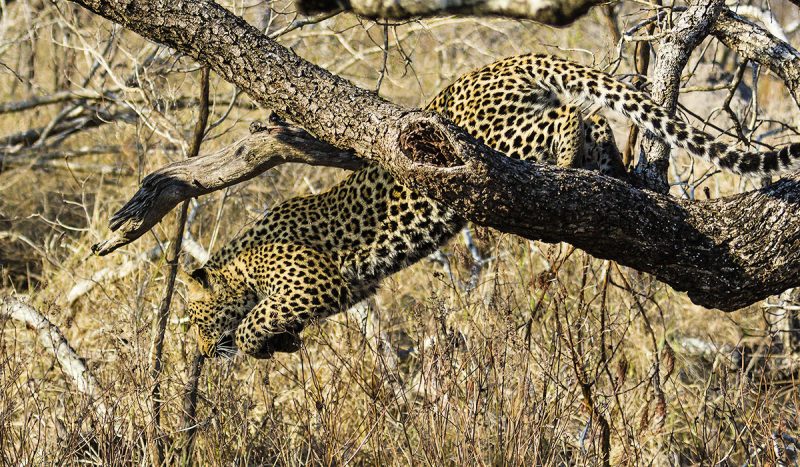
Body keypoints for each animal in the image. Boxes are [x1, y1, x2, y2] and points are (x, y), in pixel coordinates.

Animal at [186, 53, 800, 359]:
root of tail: (511, 59)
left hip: (501, 136)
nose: (199, 349)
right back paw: (614, 172)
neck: (241, 261)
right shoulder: (349, 289)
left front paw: (247, 344)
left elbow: (256, 318)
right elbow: (279, 320)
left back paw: (569, 154)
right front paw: (279, 344)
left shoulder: (312, 282)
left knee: (570, 118)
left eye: (192, 320)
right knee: (597, 126)